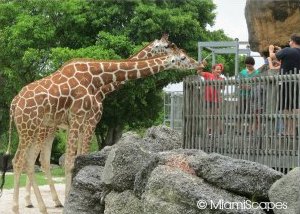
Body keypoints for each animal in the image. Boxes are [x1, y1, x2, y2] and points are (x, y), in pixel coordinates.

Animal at [3, 44, 199, 214]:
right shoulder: (84, 119)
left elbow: (79, 158)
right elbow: (72, 161)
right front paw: (70, 200)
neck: (98, 79)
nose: (199, 63)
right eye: (182, 56)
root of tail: (14, 103)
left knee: (34, 160)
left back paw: (42, 205)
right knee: (20, 160)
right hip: (31, 128)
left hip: (40, 129)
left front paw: (73, 196)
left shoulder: (82, 122)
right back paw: (19, 207)